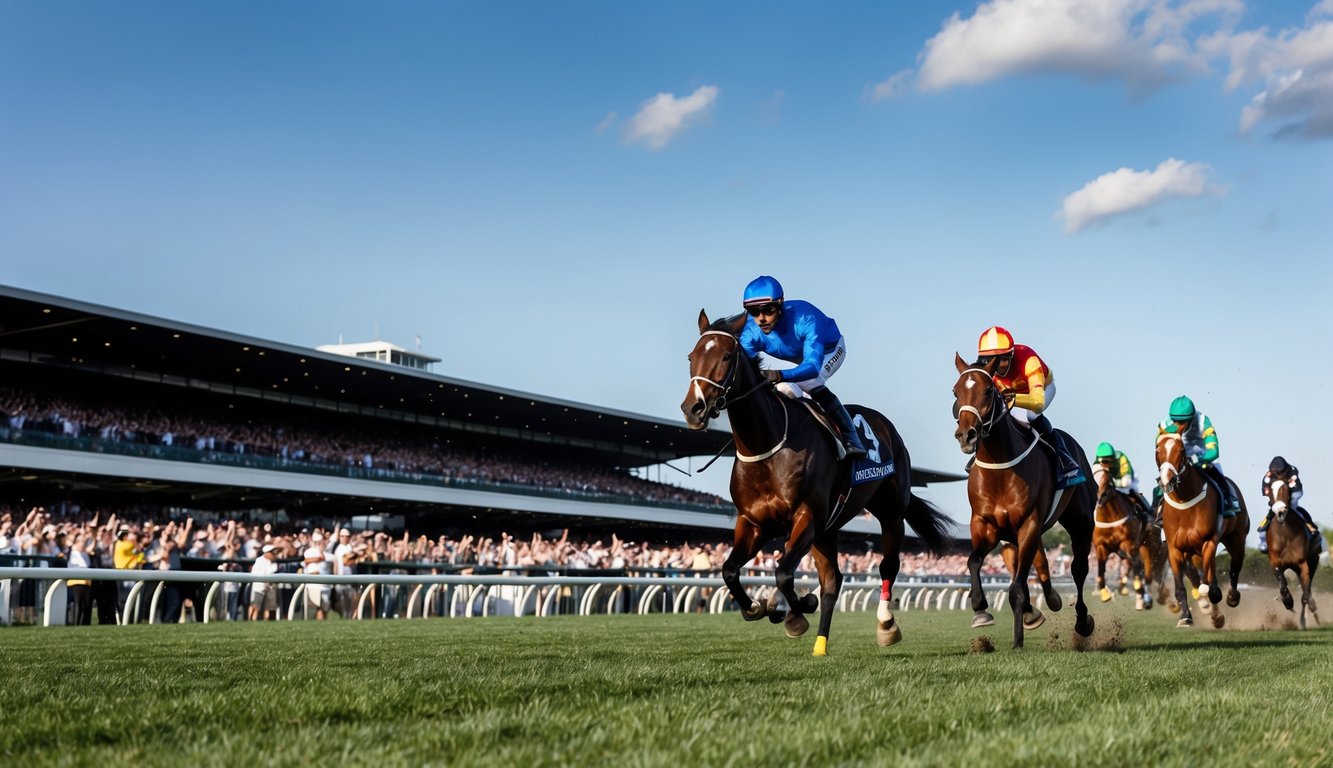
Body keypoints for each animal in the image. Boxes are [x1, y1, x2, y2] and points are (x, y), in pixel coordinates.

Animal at [682, 309, 954, 656]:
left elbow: (783, 572)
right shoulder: (753, 523)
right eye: (692, 357)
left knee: (887, 566)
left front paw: (796, 610)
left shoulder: (806, 517)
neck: (766, 446)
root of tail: (887, 427)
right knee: (833, 580)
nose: (693, 408)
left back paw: (885, 626)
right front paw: (758, 608)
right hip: (827, 530)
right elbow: (730, 570)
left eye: (727, 356)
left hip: (890, 513)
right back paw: (820, 644)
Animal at [949, 354, 1093, 648]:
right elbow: (973, 561)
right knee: (1040, 564)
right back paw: (1047, 601)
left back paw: (1083, 621)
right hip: (1014, 535)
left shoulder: (1029, 522)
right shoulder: (984, 524)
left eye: (988, 391)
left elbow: (1016, 586)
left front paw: (1017, 640)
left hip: (1080, 521)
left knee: (1078, 569)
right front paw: (980, 609)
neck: (1000, 468)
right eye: (956, 392)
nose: (966, 435)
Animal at [1093, 469, 1167, 613]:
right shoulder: (1101, 547)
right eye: (1095, 477)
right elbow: (1100, 568)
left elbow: (1138, 566)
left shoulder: (1128, 544)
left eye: (1108, 480)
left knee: (1148, 571)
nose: (1100, 497)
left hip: (1148, 546)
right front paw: (1105, 594)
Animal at [1157, 434, 1247, 626]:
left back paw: (1231, 597)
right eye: (1157, 450)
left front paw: (1211, 600)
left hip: (1235, 539)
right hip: (1192, 552)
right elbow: (1181, 587)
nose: (1167, 480)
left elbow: (1208, 584)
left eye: (1181, 450)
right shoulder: (1174, 549)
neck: (1184, 503)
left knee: (1234, 566)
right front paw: (1186, 617)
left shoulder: (1208, 541)